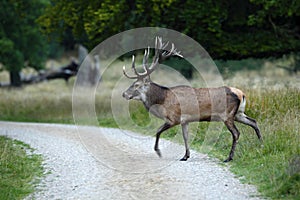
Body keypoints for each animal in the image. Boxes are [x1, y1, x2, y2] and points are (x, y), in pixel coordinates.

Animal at [121, 37, 260, 162]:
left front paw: (158, 152)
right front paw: (185, 156)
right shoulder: (185, 121)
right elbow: (186, 137)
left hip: (227, 115)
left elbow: (158, 131)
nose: (124, 94)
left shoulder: (174, 118)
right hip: (239, 113)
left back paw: (229, 158)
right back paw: (260, 143)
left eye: (136, 85)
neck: (162, 100)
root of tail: (241, 94)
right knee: (253, 122)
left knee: (236, 133)